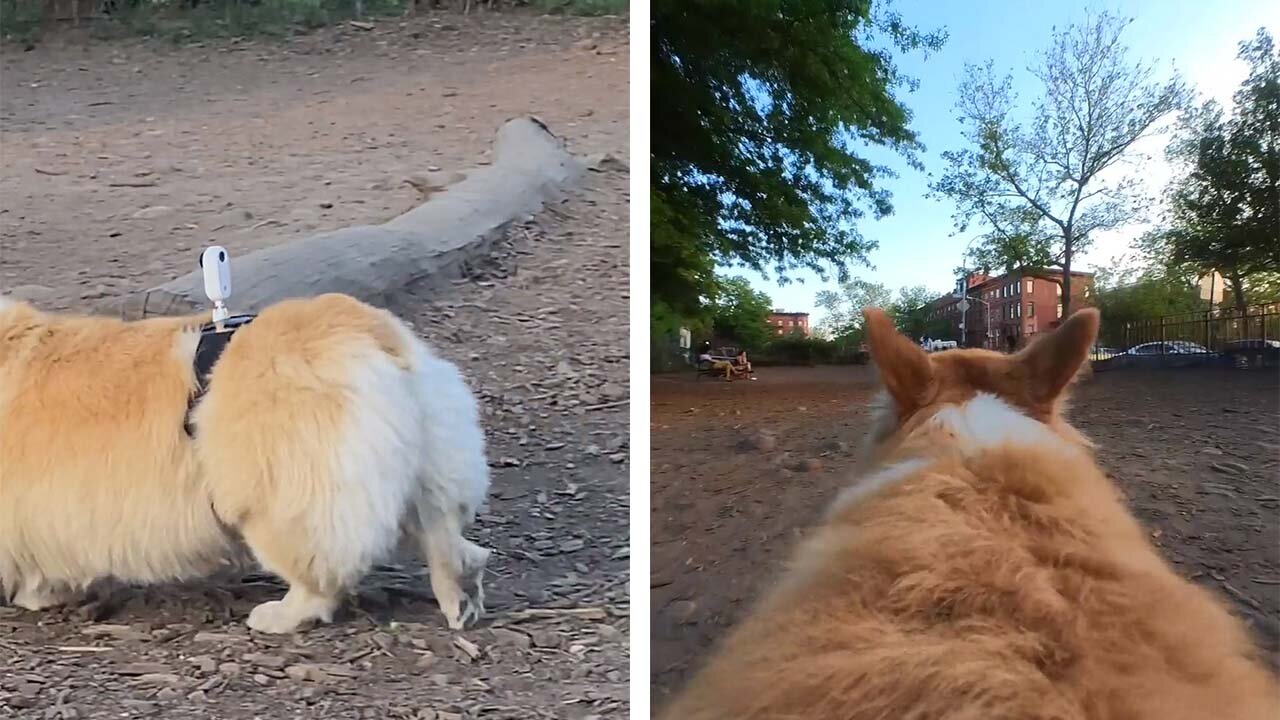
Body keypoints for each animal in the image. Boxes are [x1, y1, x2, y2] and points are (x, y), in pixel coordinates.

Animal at [0, 288, 488, 630]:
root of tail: (368, 332)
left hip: (276, 507)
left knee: (320, 581)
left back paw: (276, 616)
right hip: (431, 470)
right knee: (446, 541)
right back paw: (460, 597)